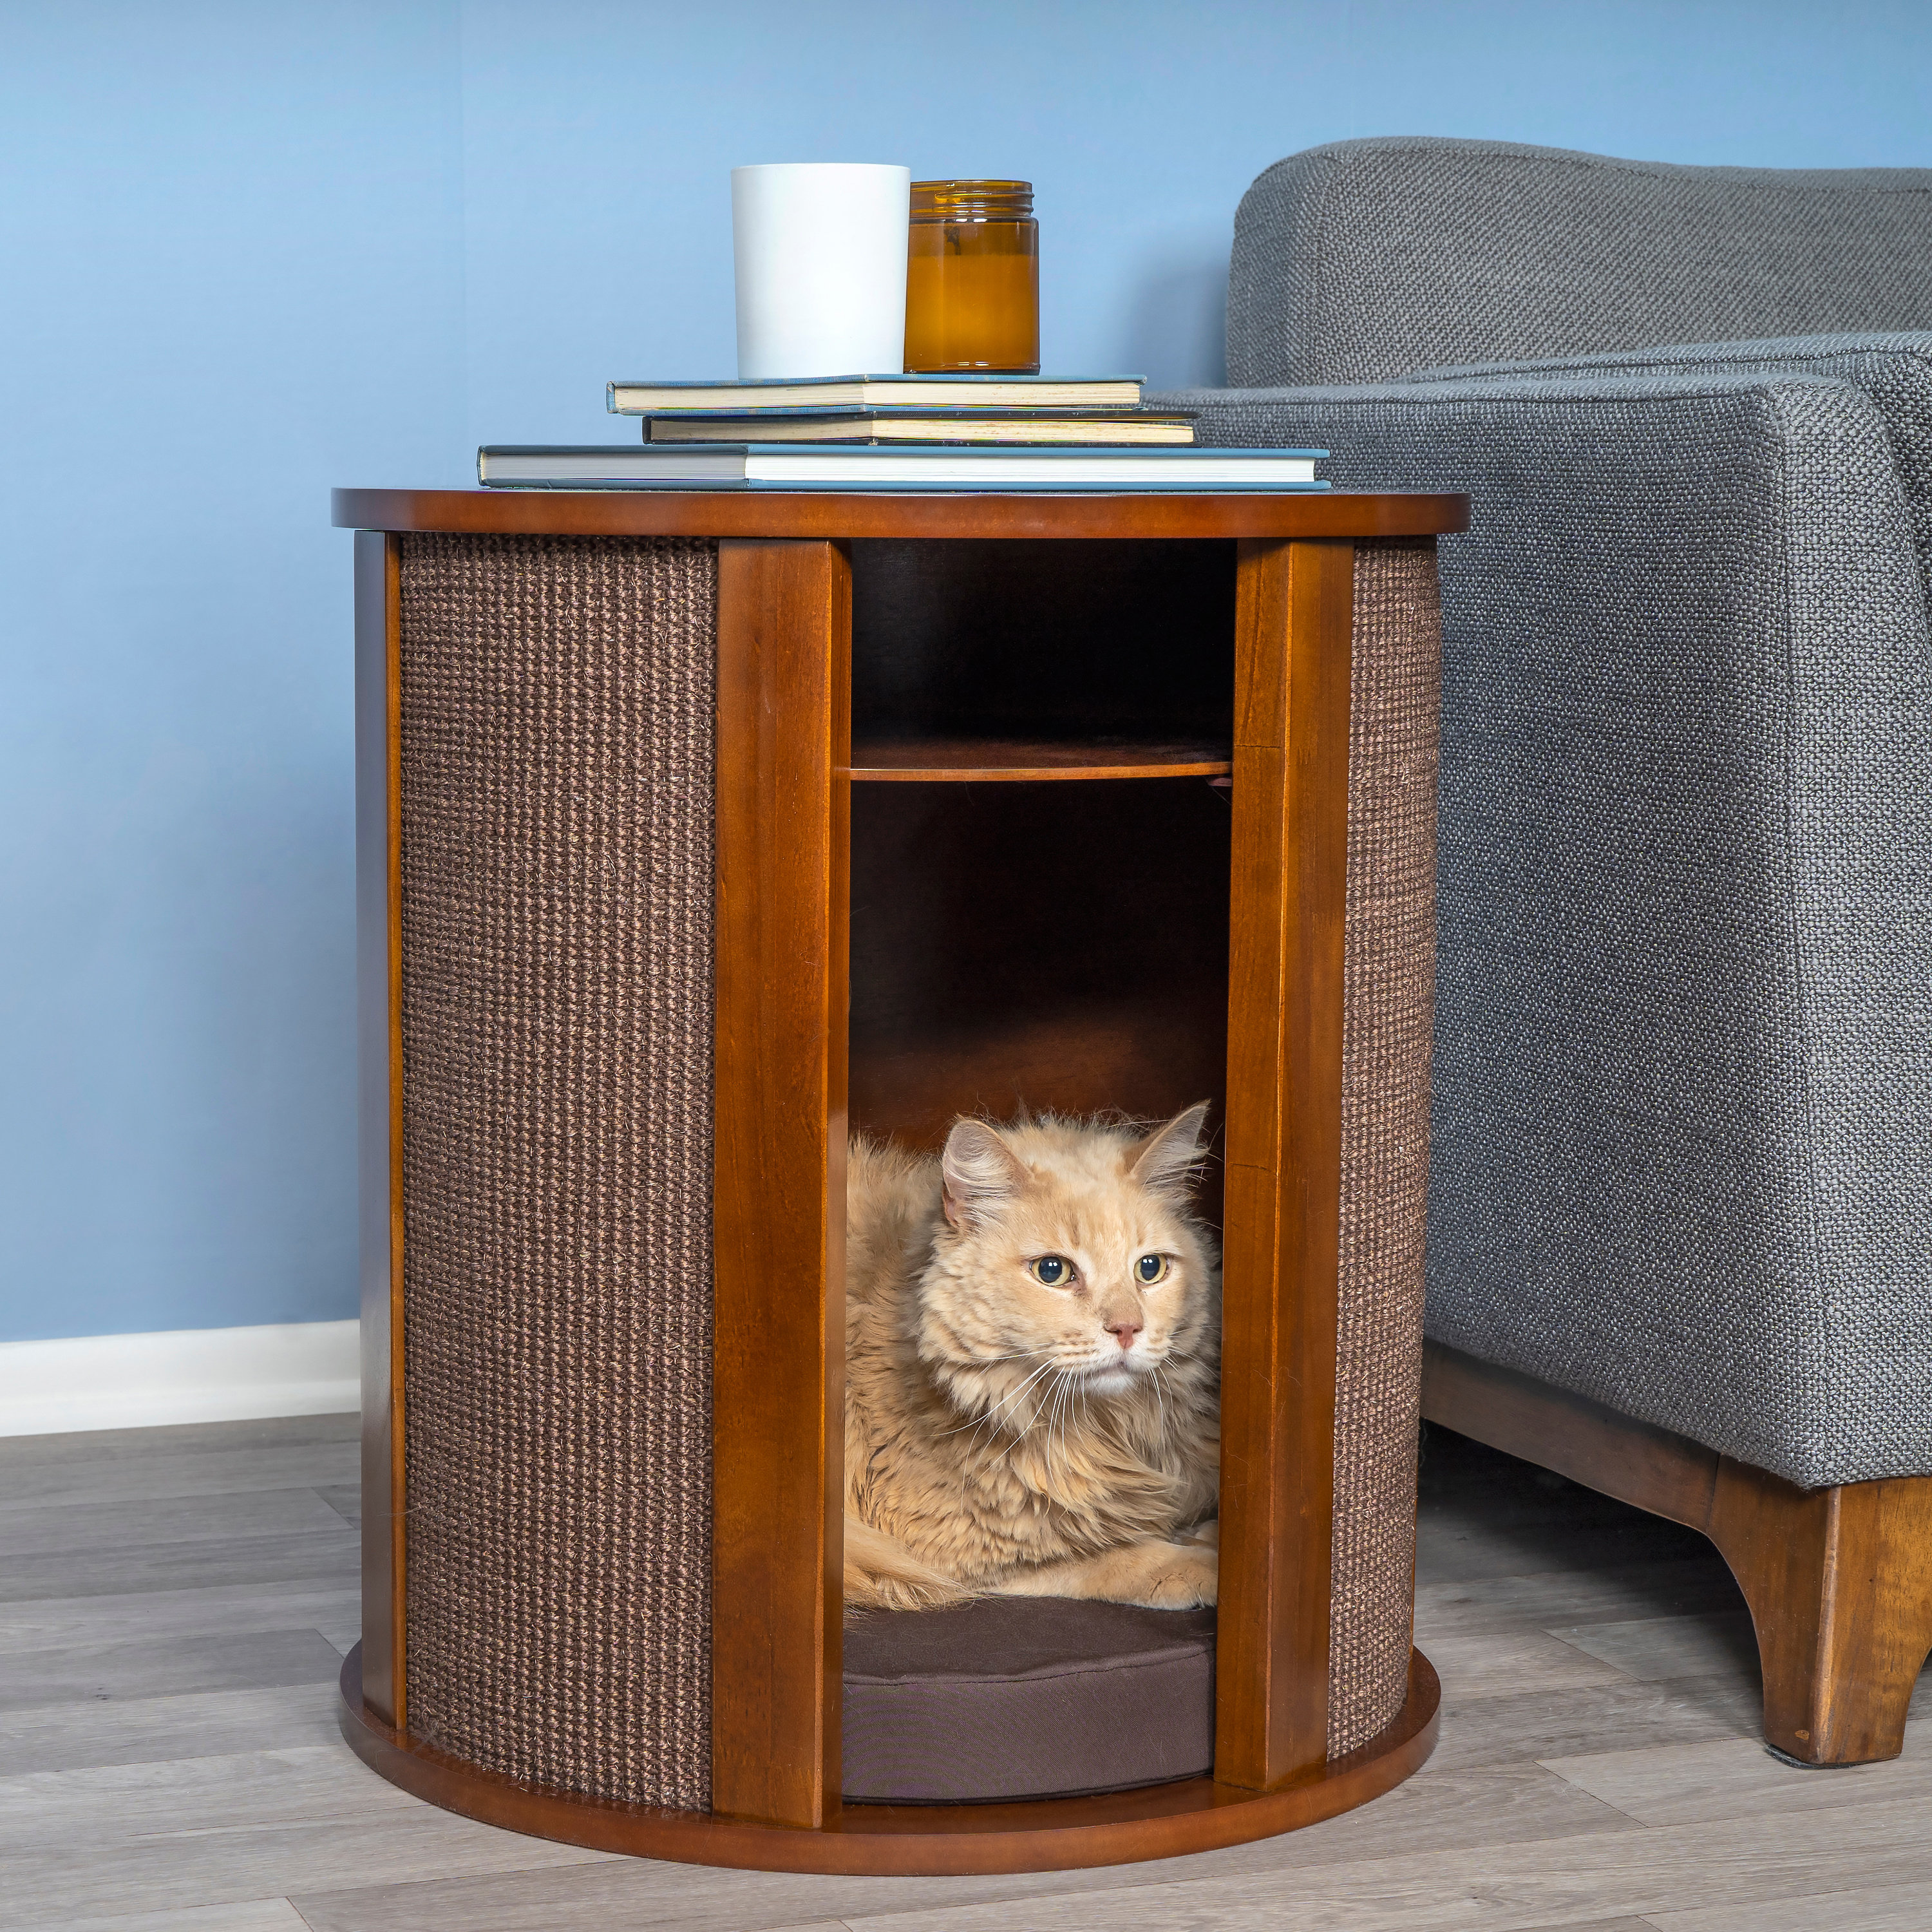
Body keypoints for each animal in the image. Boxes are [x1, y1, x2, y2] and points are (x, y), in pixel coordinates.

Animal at [838, 1105, 1213, 1615]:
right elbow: (1122, 1556)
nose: (1127, 1329)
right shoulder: (952, 1553)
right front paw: (1207, 1565)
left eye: (1150, 1269)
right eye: (1052, 1272)